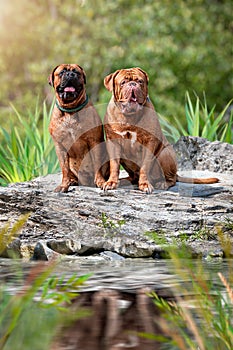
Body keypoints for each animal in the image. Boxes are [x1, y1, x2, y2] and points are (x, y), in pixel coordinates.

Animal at [49, 64, 108, 193]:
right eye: (62, 72)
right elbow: (64, 169)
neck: (70, 110)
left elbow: (97, 165)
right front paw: (64, 185)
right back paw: (72, 181)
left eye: (77, 72)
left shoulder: (94, 141)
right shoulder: (60, 147)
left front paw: (100, 182)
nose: (70, 74)